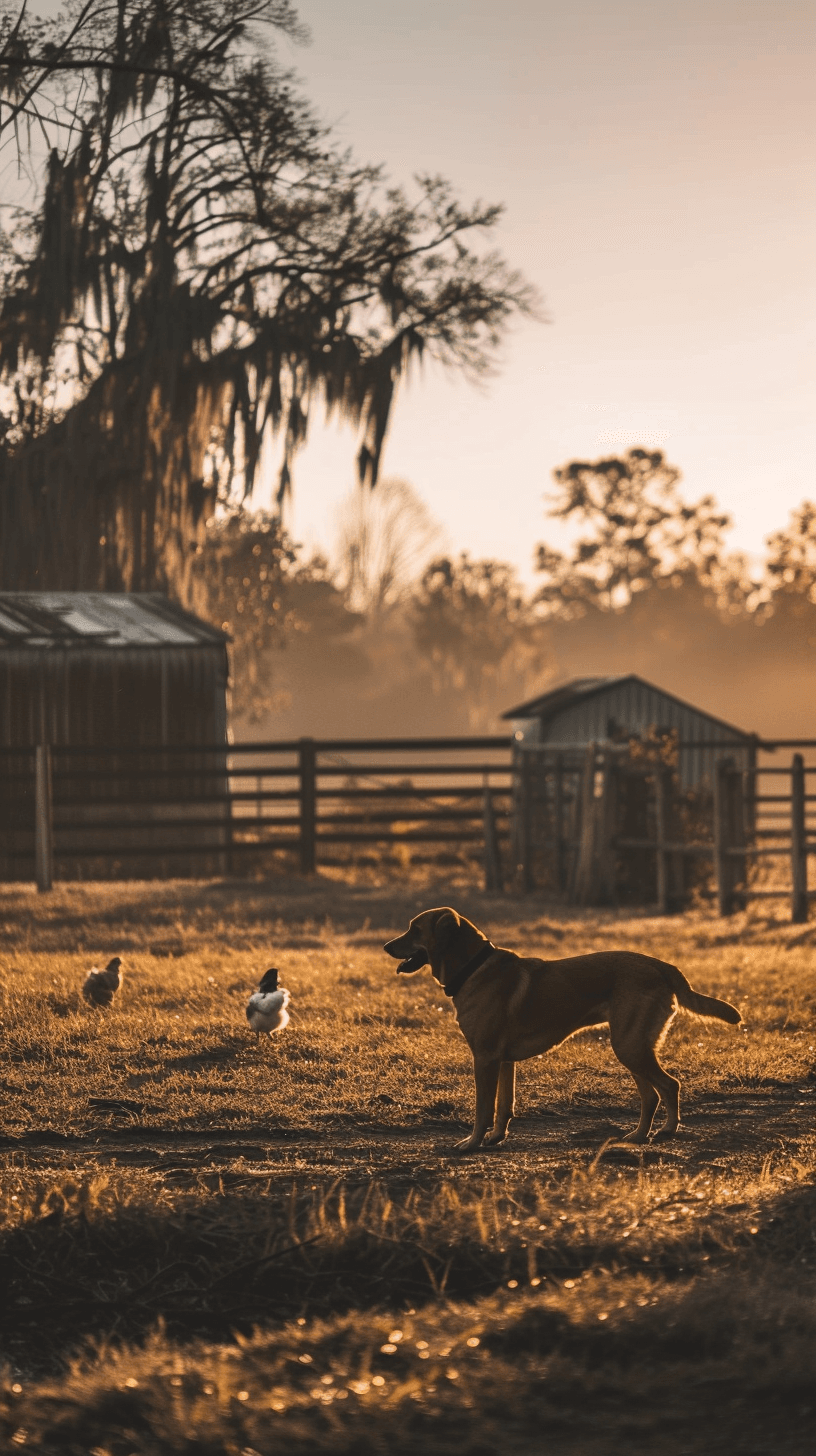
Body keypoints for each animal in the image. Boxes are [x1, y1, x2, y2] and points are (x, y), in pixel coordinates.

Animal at [381, 908, 740, 1147]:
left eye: (414, 929)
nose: (386, 947)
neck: (473, 968)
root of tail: (662, 965)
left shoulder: (484, 1058)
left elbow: (484, 1108)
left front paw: (472, 1143)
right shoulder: (504, 1061)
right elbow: (504, 1106)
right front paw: (496, 1137)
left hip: (630, 1046)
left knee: (669, 1085)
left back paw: (665, 1131)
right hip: (633, 1046)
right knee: (652, 1094)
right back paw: (639, 1135)